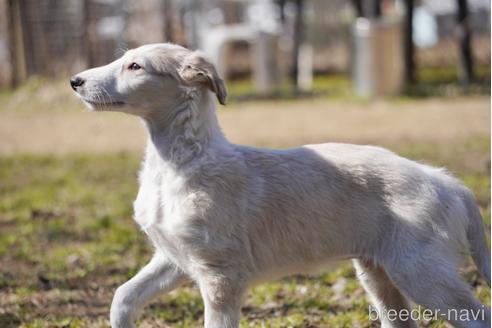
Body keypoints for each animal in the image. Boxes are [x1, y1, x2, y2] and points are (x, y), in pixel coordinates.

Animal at [71, 44, 490, 328]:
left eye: (135, 66)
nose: (74, 81)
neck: (180, 163)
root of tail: (447, 181)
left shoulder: (220, 276)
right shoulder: (174, 259)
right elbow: (123, 296)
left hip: (422, 272)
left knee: (478, 316)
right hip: (380, 274)